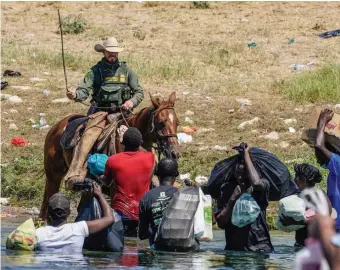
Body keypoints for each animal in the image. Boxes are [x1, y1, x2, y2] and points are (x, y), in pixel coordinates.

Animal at [40, 93, 181, 219]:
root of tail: (56, 126)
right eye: (161, 122)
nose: (175, 153)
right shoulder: (115, 191)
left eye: (177, 122)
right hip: (53, 177)